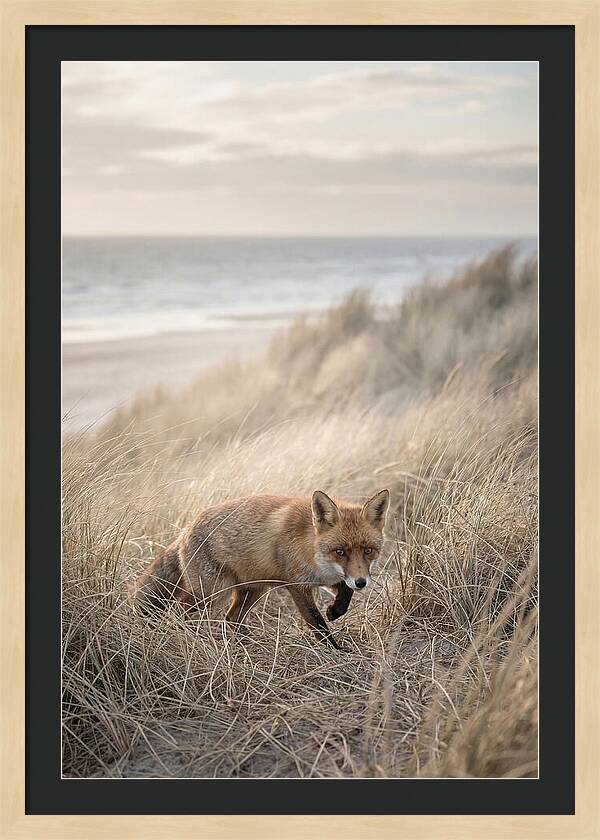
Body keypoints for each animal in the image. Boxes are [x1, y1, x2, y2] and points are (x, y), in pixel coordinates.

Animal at [130, 488, 390, 650]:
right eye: (340, 551)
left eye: (368, 550)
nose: (362, 582)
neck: (312, 549)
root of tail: (185, 529)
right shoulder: (297, 585)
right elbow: (316, 623)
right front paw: (336, 651)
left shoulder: (331, 578)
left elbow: (345, 593)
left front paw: (335, 611)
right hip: (212, 593)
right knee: (180, 611)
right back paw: (191, 638)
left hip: (253, 590)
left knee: (231, 618)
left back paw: (245, 644)